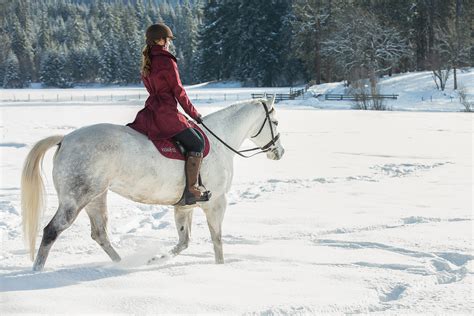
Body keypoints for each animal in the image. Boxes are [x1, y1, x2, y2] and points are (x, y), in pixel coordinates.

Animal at [20, 97, 284, 270]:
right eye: (276, 122)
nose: (279, 152)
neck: (220, 142)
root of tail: (64, 140)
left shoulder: (184, 205)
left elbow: (184, 241)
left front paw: (156, 260)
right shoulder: (216, 203)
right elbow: (217, 241)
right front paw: (220, 268)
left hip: (95, 197)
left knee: (99, 234)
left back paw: (122, 264)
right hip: (75, 199)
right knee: (52, 231)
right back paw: (37, 272)